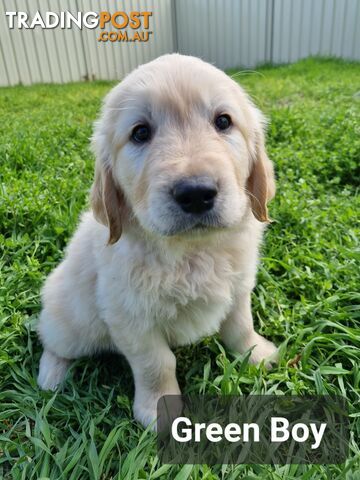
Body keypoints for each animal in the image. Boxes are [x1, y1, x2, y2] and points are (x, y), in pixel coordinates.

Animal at [36, 53, 278, 428]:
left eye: (223, 121)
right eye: (140, 133)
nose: (196, 193)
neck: (192, 250)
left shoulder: (238, 287)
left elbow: (241, 325)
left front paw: (257, 354)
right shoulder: (130, 315)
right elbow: (157, 363)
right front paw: (158, 410)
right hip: (72, 320)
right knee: (52, 338)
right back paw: (51, 374)